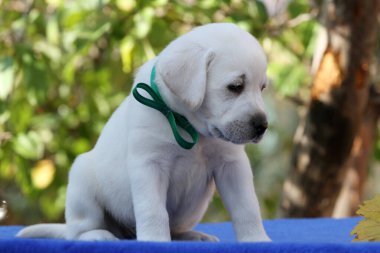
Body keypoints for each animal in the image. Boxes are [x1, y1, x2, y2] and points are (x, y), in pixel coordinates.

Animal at [17, 22, 270, 242]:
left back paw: (194, 236)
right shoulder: (149, 165)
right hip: (82, 184)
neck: (188, 126)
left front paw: (256, 240)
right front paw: (155, 241)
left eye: (262, 88)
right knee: (79, 230)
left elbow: (247, 208)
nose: (262, 126)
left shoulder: (232, 165)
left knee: (176, 229)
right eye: (235, 87)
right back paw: (98, 235)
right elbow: (153, 210)